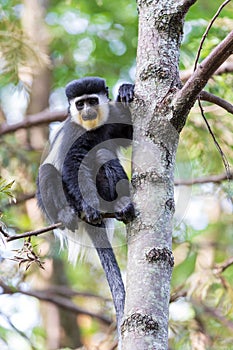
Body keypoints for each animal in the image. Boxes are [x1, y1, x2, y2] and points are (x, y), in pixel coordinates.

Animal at [36, 77, 135, 342]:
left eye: (92, 100)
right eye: (80, 104)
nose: (87, 110)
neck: (91, 128)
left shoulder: (111, 124)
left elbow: (128, 134)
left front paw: (126, 90)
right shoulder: (75, 135)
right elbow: (73, 164)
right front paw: (88, 208)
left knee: (102, 153)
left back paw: (121, 204)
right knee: (47, 171)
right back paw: (69, 215)